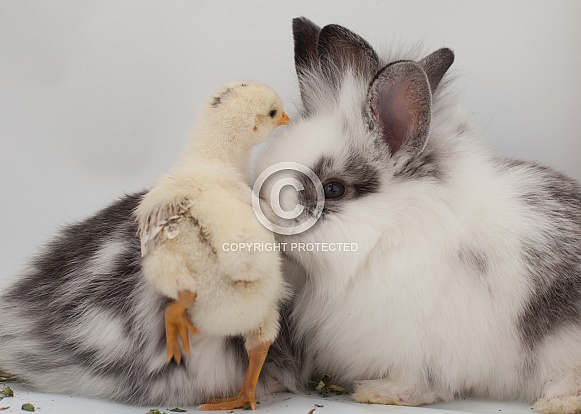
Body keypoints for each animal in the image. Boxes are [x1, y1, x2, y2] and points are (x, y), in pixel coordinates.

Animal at [251, 17, 580, 414]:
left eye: (333, 189)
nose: (264, 222)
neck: (390, 231)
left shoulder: (424, 344)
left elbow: (422, 382)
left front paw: (379, 393)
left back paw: (558, 401)